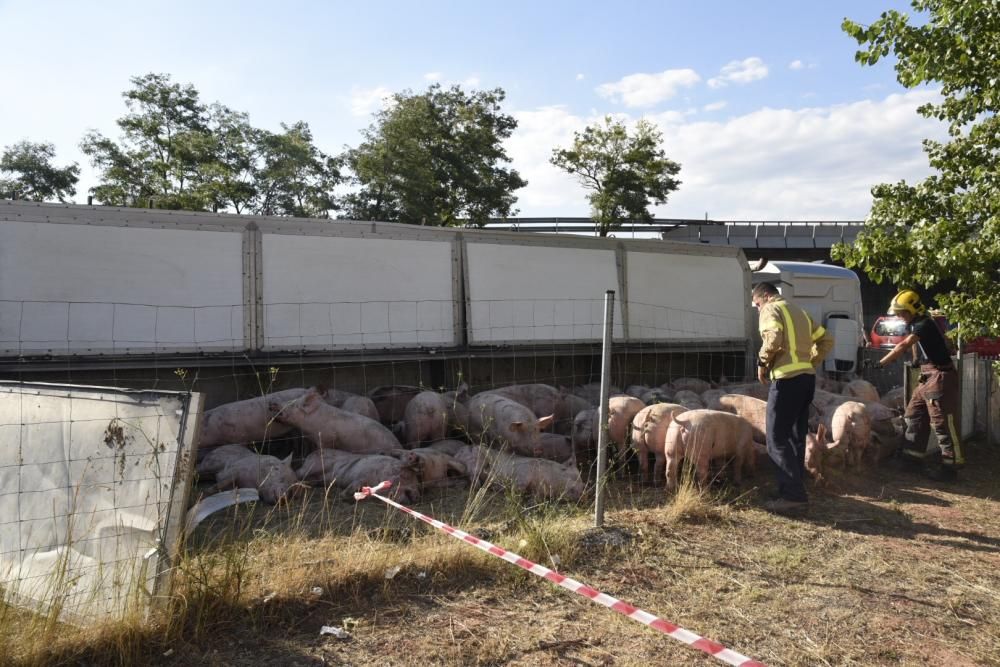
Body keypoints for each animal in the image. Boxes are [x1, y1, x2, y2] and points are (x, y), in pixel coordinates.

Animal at [458, 446, 588, 504]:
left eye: (582, 482)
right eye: (575, 477)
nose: (584, 495)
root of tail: (460, 452)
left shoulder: (538, 490)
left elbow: (536, 497)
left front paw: (530, 501)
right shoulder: (523, 472)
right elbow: (519, 485)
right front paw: (514, 496)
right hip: (479, 457)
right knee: (473, 473)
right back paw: (479, 486)